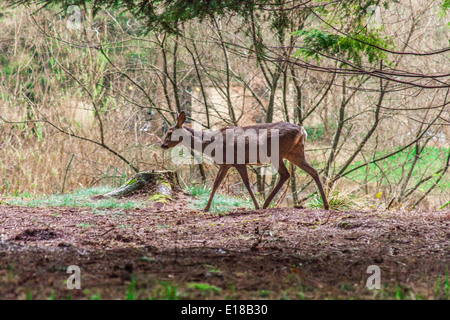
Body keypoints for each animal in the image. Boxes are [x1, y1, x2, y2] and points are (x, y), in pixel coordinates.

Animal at [160, 111, 328, 211]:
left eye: (170, 132)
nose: (162, 145)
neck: (211, 142)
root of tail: (302, 130)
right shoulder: (225, 164)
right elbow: (216, 184)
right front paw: (206, 208)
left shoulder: (237, 160)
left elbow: (246, 183)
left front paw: (256, 206)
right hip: (295, 153)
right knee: (313, 171)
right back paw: (326, 205)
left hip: (277, 153)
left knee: (285, 174)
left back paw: (265, 204)